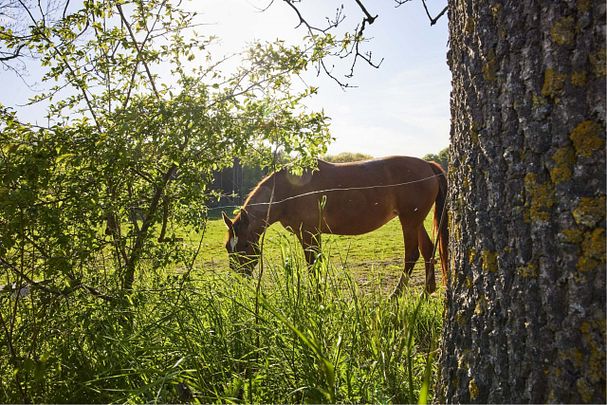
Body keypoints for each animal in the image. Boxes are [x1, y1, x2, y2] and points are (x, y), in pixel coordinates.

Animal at [221, 155, 448, 294]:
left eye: (244, 245)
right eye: (227, 248)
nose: (238, 279)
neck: (289, 190)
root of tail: (428, 165)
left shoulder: (310, 233)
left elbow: (313, 265)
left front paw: (317, 297)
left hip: (409, 221)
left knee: (412, 255)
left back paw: (395, 296)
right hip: (415, 221)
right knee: (428, 250)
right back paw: (427, 292)